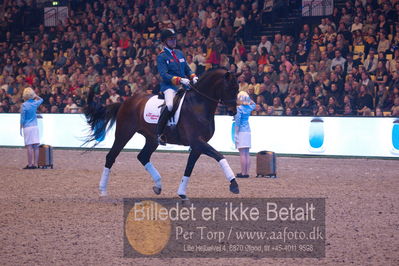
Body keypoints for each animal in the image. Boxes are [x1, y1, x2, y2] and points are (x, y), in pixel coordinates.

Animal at [84, 67, 239, 198]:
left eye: (237, 89)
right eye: (230, 88)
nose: (233, 112)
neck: (199, 104)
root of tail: (125, 102)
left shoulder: (197, 146)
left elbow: (189, 167)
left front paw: (182, 193)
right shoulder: (197, 141)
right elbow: (219, 156)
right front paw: (234, 184)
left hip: (152, 139)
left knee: (143, 156)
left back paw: (158, 185)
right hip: (124, 134)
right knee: (111, 157)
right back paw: (103, 191)